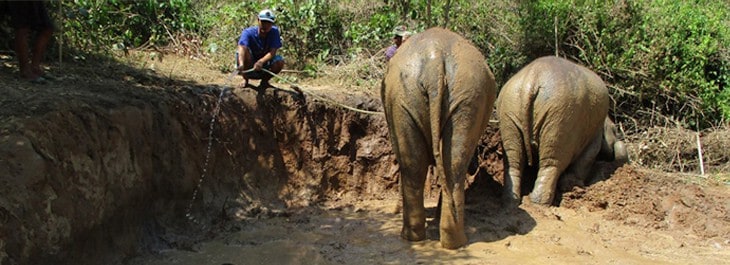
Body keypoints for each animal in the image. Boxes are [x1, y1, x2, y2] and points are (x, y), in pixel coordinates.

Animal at [382, 26, 494, 248]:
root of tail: (435, 59)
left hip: (456, 96)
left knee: (422, 165)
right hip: (459, 95)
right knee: (442, 166)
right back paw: (449, 241)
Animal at [494, 55, 624, 204]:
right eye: (615, 130)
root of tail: (532, 77)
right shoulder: (594, 133)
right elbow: (588, 156)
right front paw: (574, 185)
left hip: (509, 109)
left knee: (513, 159)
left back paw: (511, 200)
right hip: (561, 117)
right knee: (552, 162)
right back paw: (540, 203)